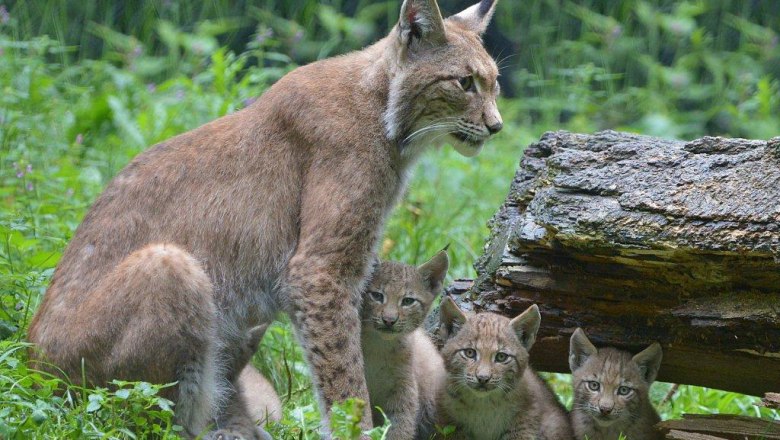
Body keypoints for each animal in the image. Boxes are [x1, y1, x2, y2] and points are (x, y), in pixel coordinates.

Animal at [362, 249, 448, 438]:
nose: (389, 320)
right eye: (377, 296)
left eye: (408, 301)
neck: (379, 344)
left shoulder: (404, 386)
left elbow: (402, 423)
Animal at [436, 300, 568, 440]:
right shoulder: (450, 424)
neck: (483, 403)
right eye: (470, 353)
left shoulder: (525, 422)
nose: (483, 378)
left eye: (501, 357)